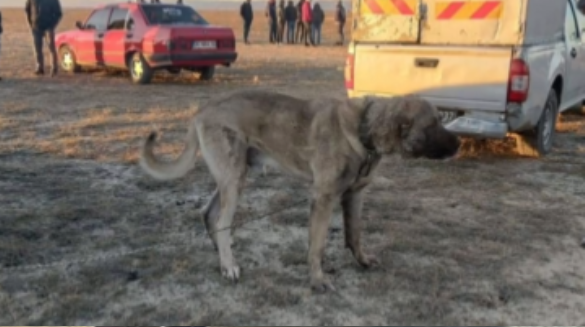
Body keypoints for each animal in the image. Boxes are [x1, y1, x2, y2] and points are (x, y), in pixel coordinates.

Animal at [139, 89, 458, 292]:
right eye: (435, 123)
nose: (459, 143)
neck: (363, 128)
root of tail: (202, 110)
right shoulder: (323, 198)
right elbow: (317, 246)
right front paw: (317, 280)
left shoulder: (354, 195)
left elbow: (354, 234)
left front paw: (362, 260)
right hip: (233, 178)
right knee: (221, 220)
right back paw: (228, 264)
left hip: (235, 177)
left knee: (210, 215)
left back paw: (222, 253)